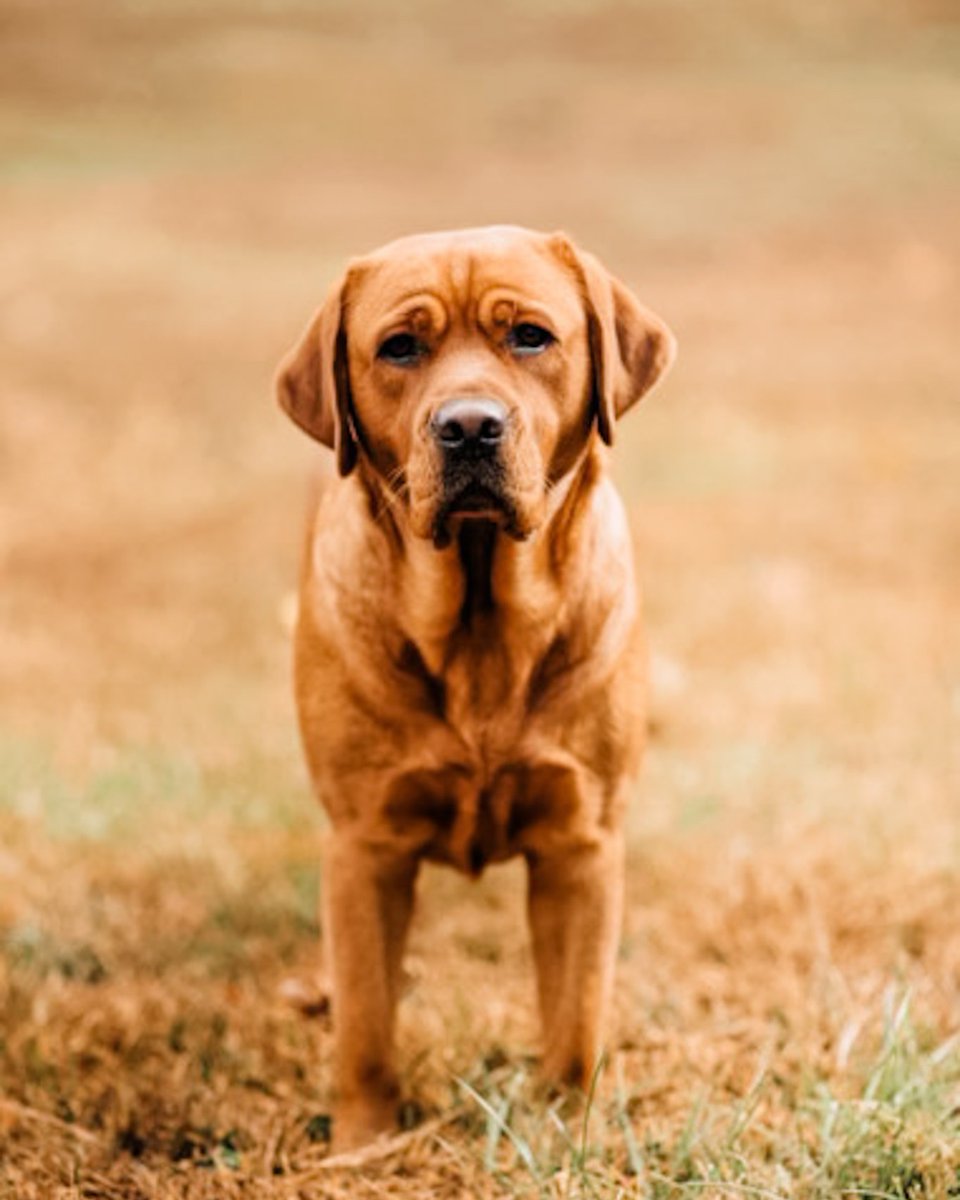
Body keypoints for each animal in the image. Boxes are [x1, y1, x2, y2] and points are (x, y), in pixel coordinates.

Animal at [272, 220, 676, 1147]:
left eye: (529, 336)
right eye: (400, 347)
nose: (467, 427)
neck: (483, 627)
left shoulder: (580, 842)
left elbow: (574, 1017)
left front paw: (566, 1132)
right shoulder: (365, 844)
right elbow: (367, 1025)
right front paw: (363, 1145)